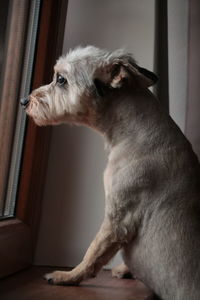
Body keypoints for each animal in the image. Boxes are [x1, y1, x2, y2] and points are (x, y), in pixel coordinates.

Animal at [20, 45, 200, 298]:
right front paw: (124, 269)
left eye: (61, 79)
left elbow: (93, 252)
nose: (23, 100)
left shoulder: (117, 218)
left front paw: (69, 276)